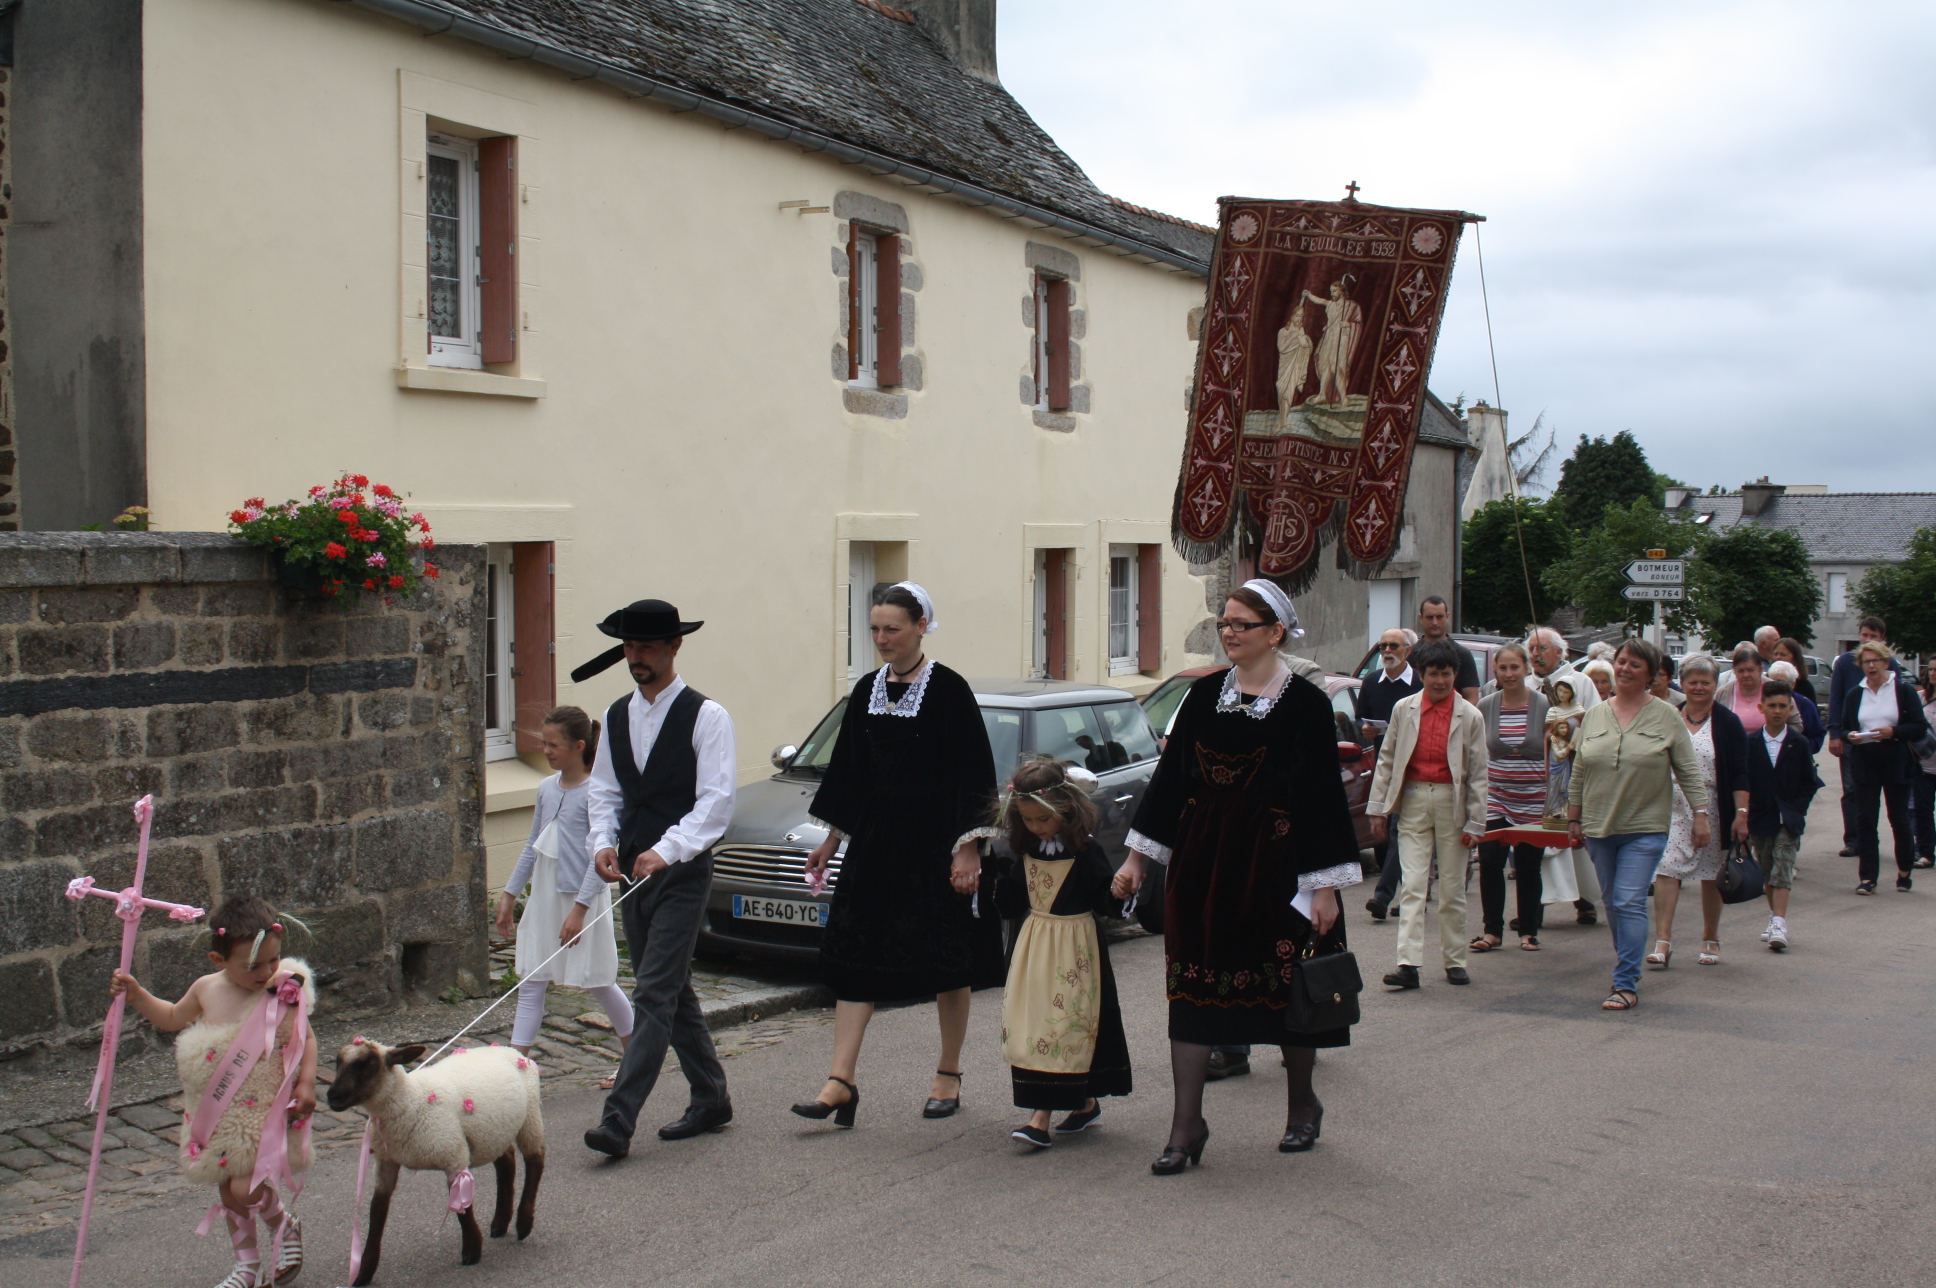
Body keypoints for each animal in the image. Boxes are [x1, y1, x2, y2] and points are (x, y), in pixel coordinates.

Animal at [321, 1038, 542, 1278]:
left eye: (368, 1063)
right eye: (338, 1061)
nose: (332, 1096)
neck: (411, 1101)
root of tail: (507, 1049)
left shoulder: (454, 1155)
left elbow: (463, 1210)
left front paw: (472, 1251)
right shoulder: (386, 1161)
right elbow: (376, 1212)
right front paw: (364, 1271)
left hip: (530, 1117)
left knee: (535, 1161)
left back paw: (524, 1223)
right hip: (493, 1133)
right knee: (507, 1161)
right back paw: (500, 1223)